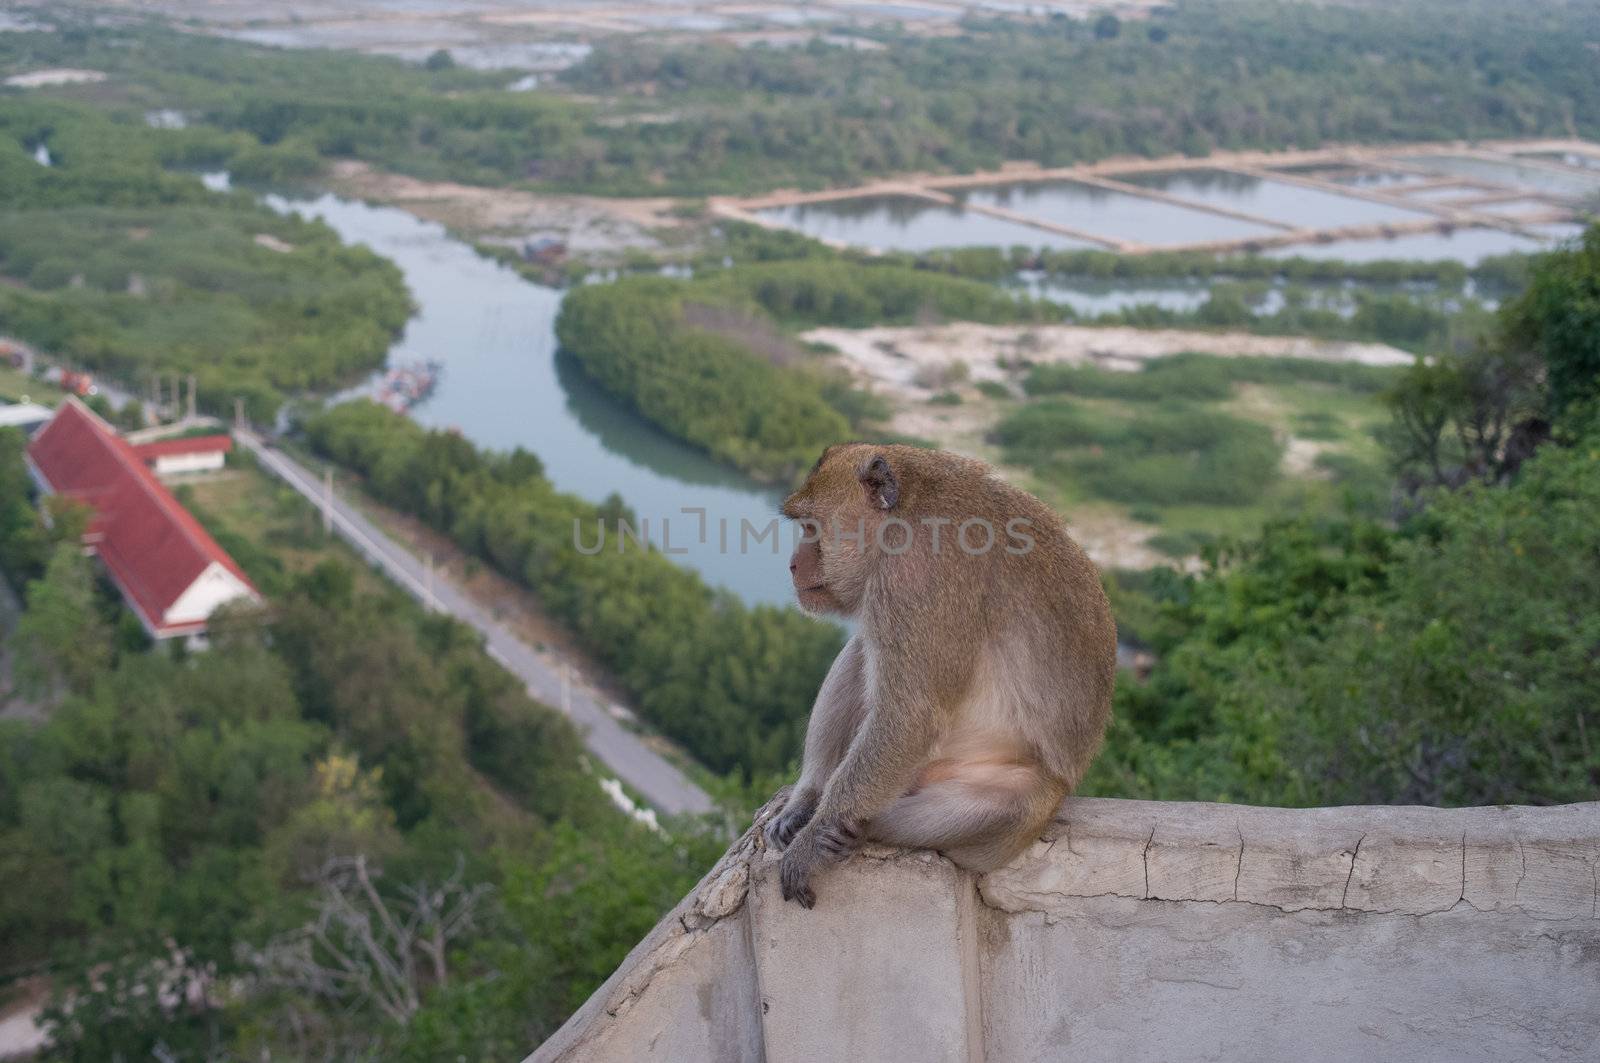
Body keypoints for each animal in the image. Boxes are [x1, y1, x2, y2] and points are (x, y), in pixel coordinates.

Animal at [761, 445, 1113, 909]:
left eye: (810, 527)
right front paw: (806, 810)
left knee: (1009, 809)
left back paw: (853, 832)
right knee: (864, 649)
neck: (905, 518)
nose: (792, 564)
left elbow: (912, 719)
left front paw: (811, 845)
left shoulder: (915, 580)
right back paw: (811, 800)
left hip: (1026, 797)